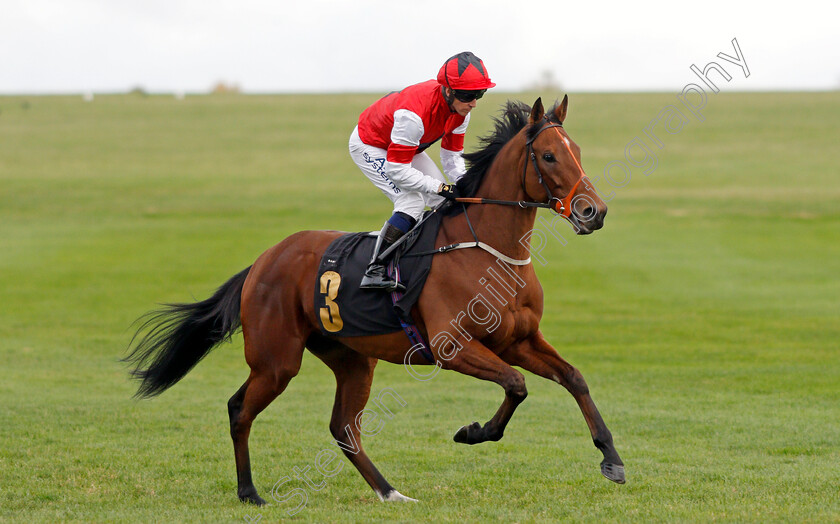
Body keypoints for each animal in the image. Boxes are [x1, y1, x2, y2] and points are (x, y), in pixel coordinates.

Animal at [124, 96, 624, 506]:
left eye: (578, 152)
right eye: (548, 155)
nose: (593, 212)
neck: (486, 249)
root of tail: (263, 261)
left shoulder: (518, 340)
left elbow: (573, 378)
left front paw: (612, 459)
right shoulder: (452, 346)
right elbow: (517, 385)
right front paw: (473, 432)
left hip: (351, 358)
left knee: (344, 428)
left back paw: (390, 492)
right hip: (276, 360)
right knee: (239, 409)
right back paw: (249, 492)